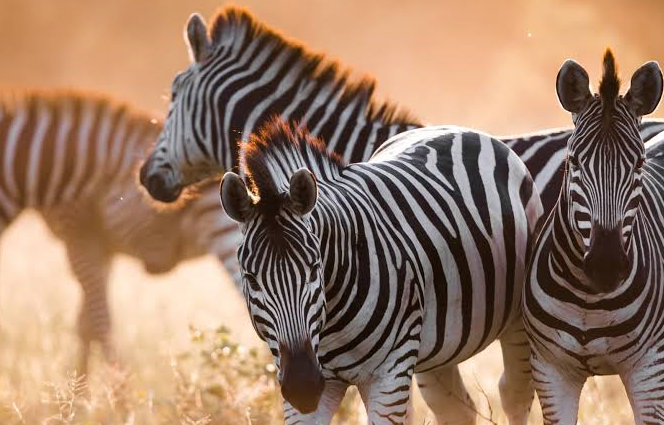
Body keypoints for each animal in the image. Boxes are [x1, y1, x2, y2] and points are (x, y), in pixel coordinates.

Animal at [0, 89, 240, 374]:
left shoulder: (79, 232)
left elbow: (100, 323)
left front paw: (118, 385)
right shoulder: (103, 246)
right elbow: (86, 324)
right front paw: (79, 386)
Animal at [220, 119, 542, 425]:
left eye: (313, 270)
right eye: (251, 279)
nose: (303, 387)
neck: (330, 324)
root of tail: (460, 129)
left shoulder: (389, 375)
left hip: (517, 322)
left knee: (514, 395)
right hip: (438, 348)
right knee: (457, 410)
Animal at [523, 50, 664, 425]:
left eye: (640, 164)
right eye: (573, 161)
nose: (606, 265)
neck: (588, 299)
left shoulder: (650, 370)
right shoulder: (551, 371)